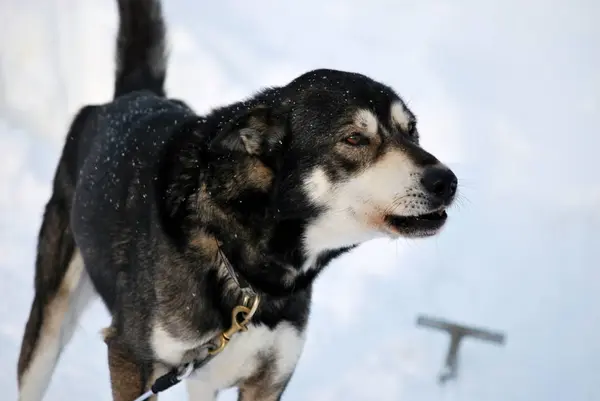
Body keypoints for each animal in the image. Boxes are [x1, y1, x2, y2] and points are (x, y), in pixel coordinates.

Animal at [17, 0, 460, 400]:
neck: (248, 272)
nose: (447, 181)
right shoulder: (130, 358)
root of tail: (135, 95)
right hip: (51, 321)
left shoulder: (267, 379)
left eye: (411, 131)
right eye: (354, 138)